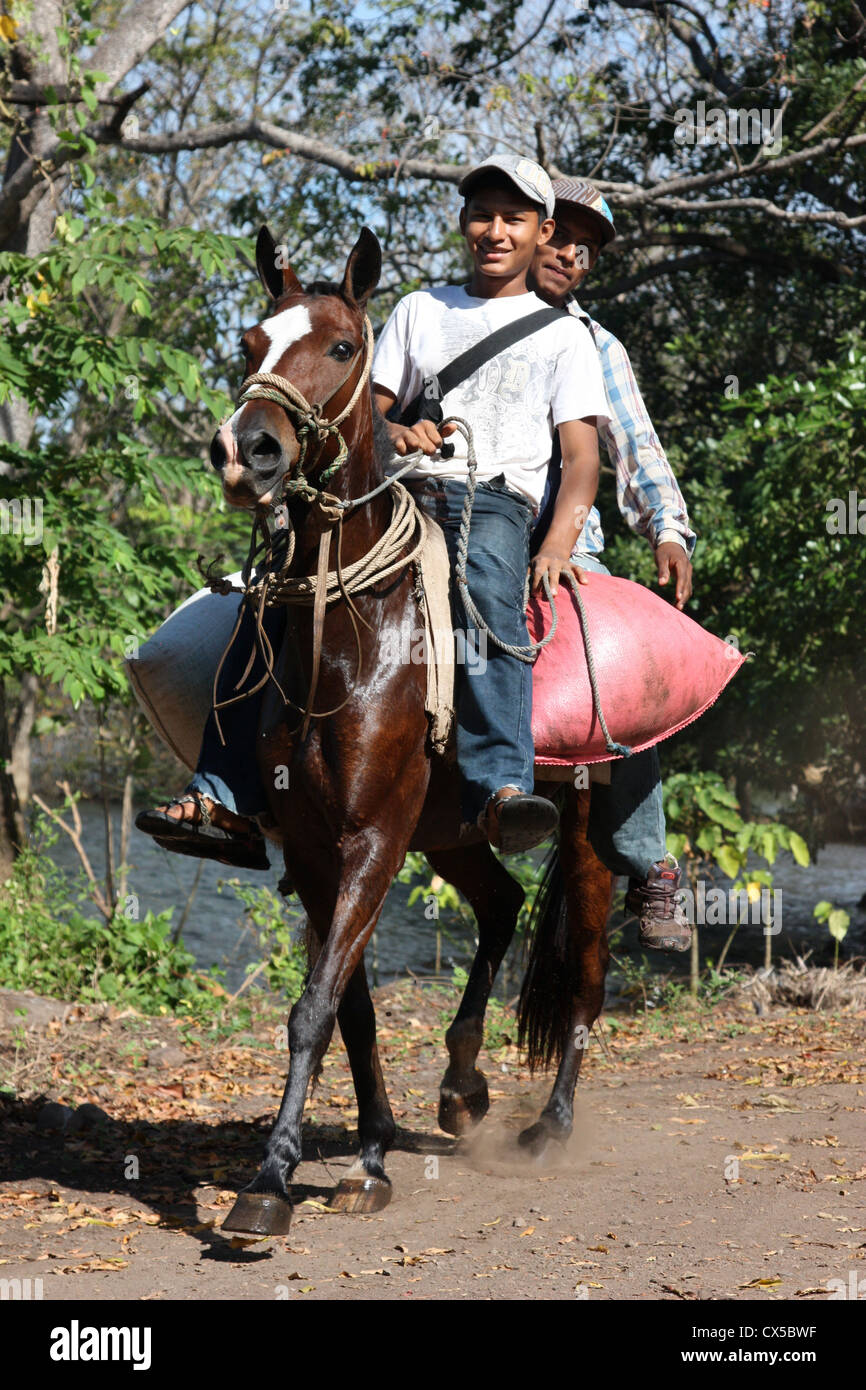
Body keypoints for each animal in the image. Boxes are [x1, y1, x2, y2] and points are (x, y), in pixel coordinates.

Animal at [212, 227, 614, 1239]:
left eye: (343, 346)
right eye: (251, 342)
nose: (247, 450)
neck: (350, 637)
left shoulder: (373, 837)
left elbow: (312, 1009)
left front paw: (270, 1182)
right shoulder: (317, 847)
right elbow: (343, 1009)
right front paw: (366, 1156)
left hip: (589, 825)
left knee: (588, 975)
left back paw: (548, 1127)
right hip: (453, 831)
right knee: (502, 905)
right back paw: (463, 1084)